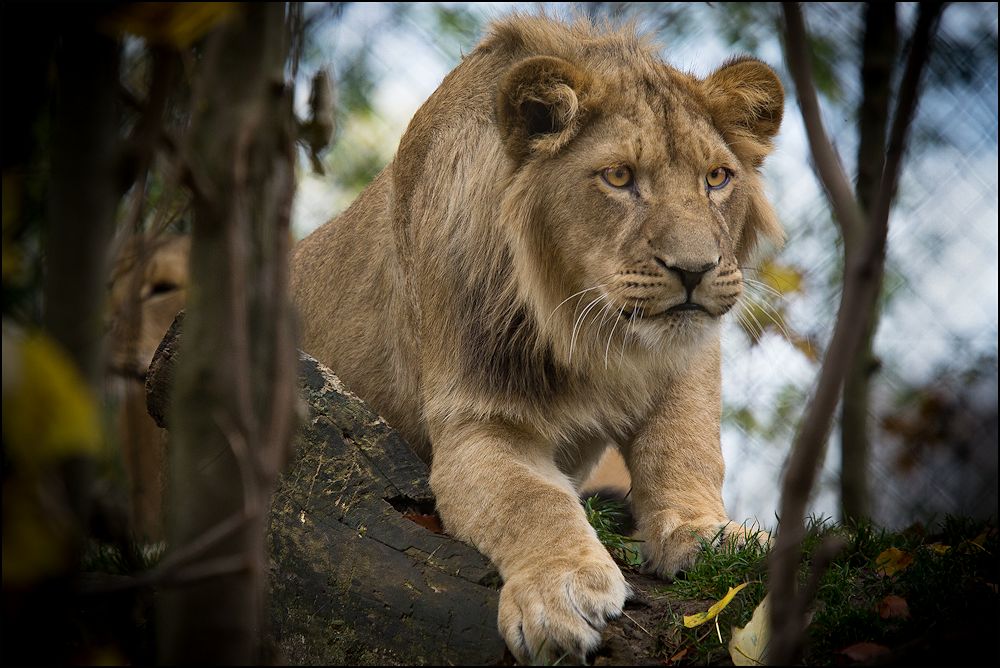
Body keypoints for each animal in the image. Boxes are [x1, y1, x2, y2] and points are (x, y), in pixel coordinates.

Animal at [292, 14, 784, 664]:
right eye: (619, 177)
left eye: (717, 178)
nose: (695, 269)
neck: (595, 336)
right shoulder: (475, 424)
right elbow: (531, 500)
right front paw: (560, 590)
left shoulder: (688, 359)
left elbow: (685, 448)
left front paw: (707, 532)